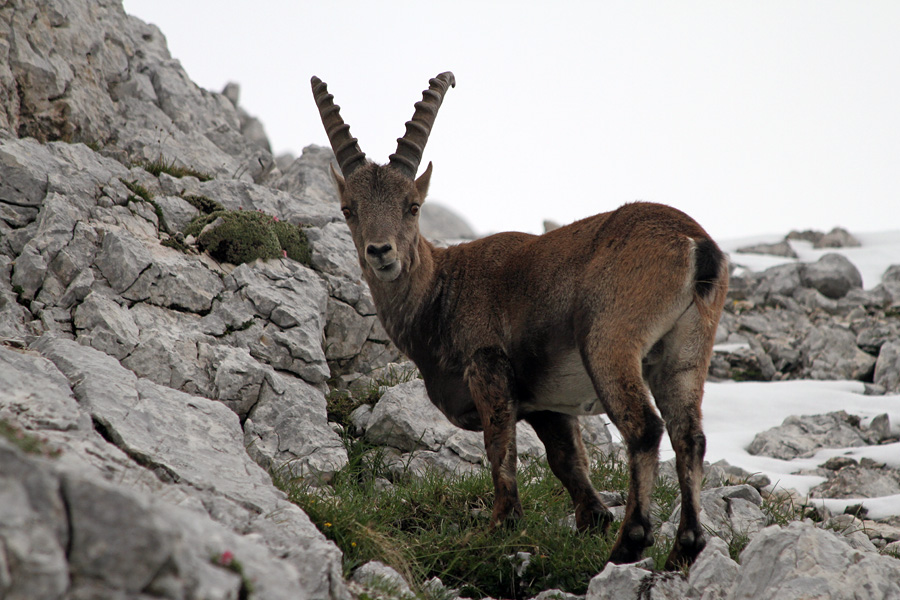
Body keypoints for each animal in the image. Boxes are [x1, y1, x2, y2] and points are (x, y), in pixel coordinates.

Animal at [311, 72, 728, 569]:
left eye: (412, 205)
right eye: (348, 209)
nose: (380, 252)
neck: (441, 292)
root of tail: (696, 247)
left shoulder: (488, 367)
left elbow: (500, 449)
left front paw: (500, 527)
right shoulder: (545, 405)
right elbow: (567, 460)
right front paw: (591, 520)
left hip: (609, 339)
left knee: (644, 428)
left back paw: (630, 542)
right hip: (684, 353)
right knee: (690, 438)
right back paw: (684, 548)